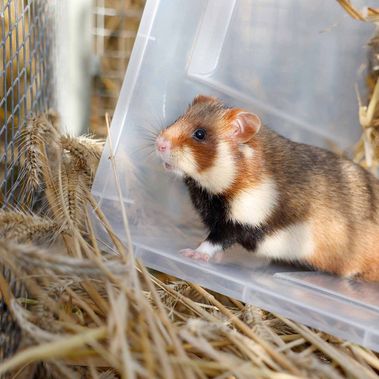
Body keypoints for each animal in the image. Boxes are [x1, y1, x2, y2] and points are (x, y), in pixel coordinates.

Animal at [156, 95, 379, 282]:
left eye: (200, 134)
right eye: (178, 117)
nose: (159, 143)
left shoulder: (240, 221)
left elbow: (214, 241)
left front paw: (190, 253)